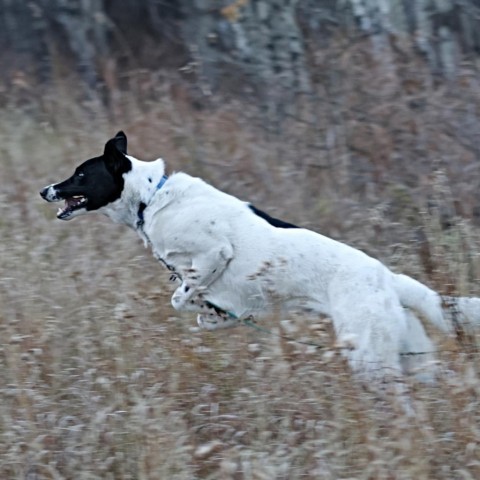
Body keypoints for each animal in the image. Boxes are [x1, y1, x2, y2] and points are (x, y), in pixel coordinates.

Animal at [41, 131, 480, 378]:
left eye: (80, 174)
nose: (45, 189)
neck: (152, 197)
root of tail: (389, 279)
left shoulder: (214, 253)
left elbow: (182, 296)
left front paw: (207, 310)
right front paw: (216, 317)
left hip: (370, 356)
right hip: (406, 354)